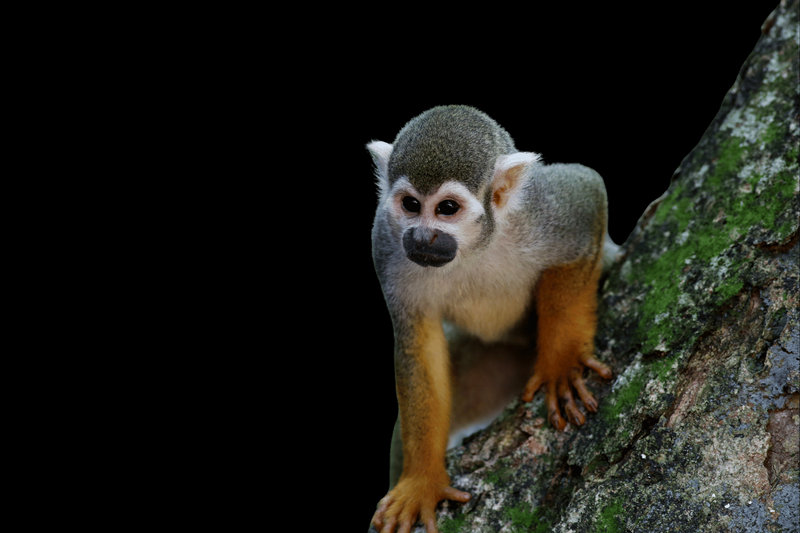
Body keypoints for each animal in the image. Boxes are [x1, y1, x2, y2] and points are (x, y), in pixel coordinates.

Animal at [367, 105, 617, 533]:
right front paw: (420, 481)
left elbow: (586, 193)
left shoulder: (543, 211)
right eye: (411, 205)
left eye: (447, 209)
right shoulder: (385, 240)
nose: (422, 237)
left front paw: (562, 362)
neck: (473, 248)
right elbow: (418, 345)